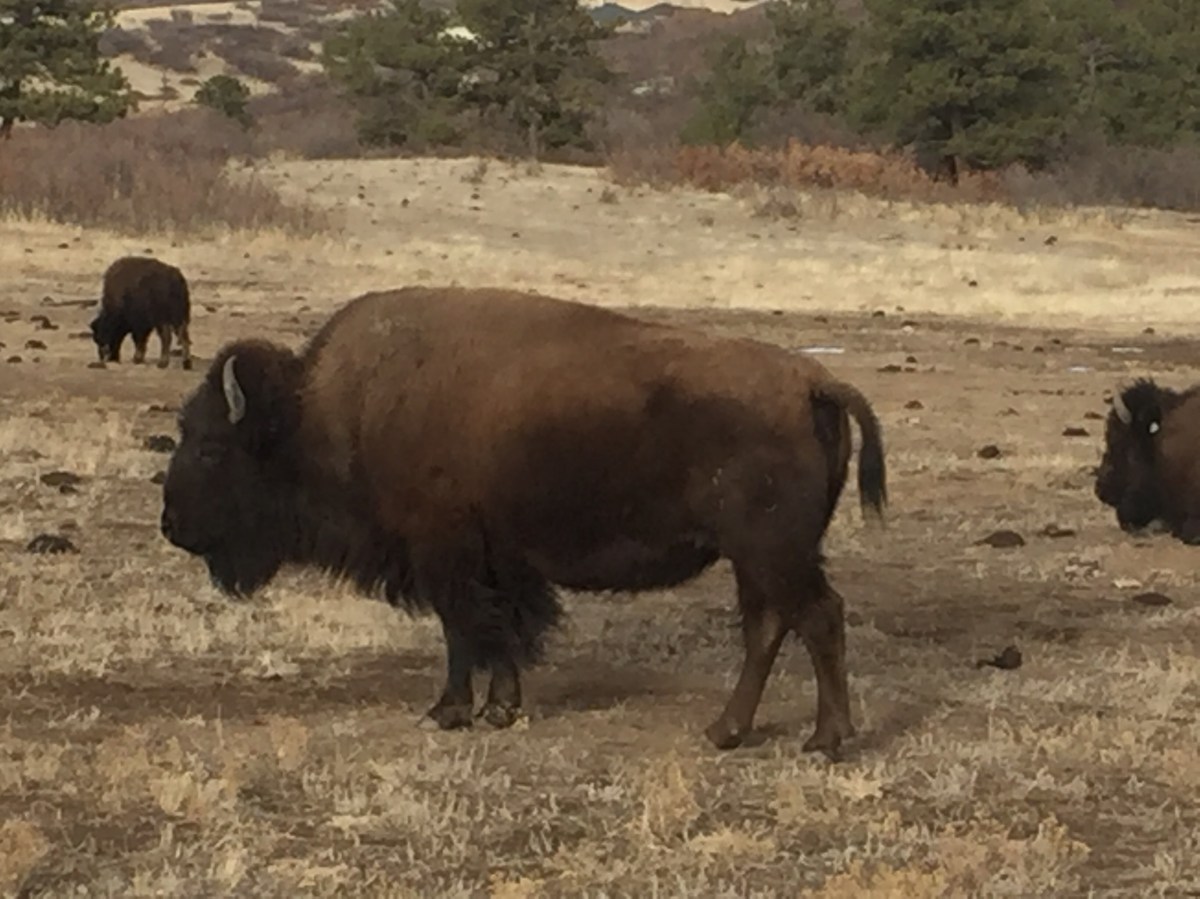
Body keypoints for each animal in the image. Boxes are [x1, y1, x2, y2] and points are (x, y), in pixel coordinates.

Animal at [159, 286, 887, 757]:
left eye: (210, 446)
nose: (171, 524)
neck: (326, 408)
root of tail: (813, 383)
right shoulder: (495, 559)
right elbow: (500, 629)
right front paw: (502, 708)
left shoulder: (444, 553)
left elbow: (463, 631)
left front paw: (447, 712)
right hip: (756, 556)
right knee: (770, 626)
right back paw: (725, 732)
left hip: (772, 551)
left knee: (817, 616)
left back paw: (825, 741)